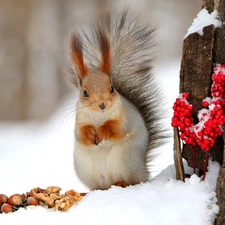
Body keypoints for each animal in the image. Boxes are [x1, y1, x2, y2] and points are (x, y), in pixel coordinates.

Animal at [70, 9, 167, 191]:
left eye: (112, 88)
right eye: (85, 92)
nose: (102, 105)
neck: (99, 116)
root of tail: (144, 171)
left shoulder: (125, 117)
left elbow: (118, 128)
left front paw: (103, 131)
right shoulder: (79, 120)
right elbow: (80, 134)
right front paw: (90, 134)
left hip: (124, 157)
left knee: (131, 181)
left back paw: (121, 182)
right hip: (83, 166)